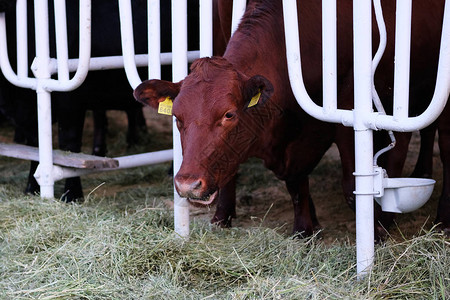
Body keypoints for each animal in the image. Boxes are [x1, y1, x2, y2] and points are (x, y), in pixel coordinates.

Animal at [133, 0, 446, 238]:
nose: (187, 184)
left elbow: (353, 185)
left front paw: (376, 228)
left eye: (229, 114)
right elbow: (296, 182)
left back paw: (439, 219)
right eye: (177, 117)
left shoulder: (353, 112)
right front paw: (305, 228)